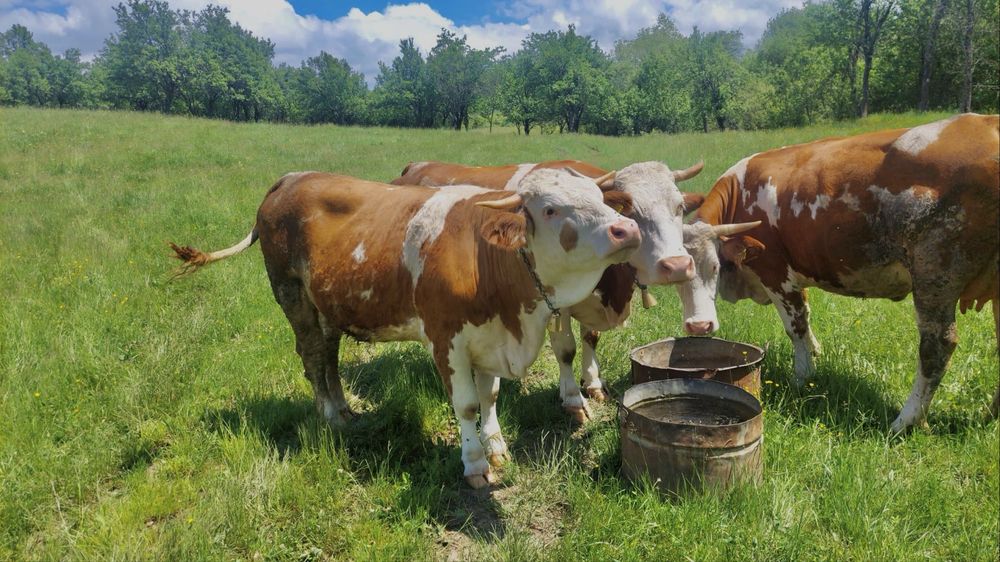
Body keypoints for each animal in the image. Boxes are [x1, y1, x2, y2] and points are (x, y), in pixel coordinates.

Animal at [169, 169, 641, 487]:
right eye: (550, 208)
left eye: (599, 197)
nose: (628, 228)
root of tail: (291, 178)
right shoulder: (446, 339)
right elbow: (466, 406)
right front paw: (474, 463)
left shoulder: (489, 337)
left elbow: (489, 396)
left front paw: (496, 446)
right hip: (291, 294)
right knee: (312, 356)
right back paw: (329, 416)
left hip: (330, 304)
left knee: (329, 356)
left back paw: (344, 408)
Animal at [393, 159, 709, 421]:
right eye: (631, 210)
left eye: (679, 207)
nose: (677, 265)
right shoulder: (557, 303)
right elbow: (566, 350)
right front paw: (572, 399)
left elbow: (591, 338)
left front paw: (593, 383)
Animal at [676, 113, 999, 432]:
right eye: (677, 275)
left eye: (715, 266)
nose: (699, 326)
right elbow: (806, 316)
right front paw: (815, 354)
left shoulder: (775, 272)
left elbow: (796, 326)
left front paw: (802, 377)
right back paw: (991, 413)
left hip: (935, 274)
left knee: (937, 347)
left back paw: (904, 421)